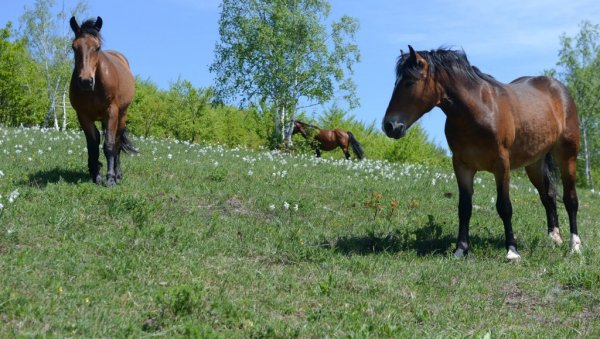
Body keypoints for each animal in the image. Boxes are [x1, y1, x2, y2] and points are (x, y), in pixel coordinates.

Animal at [69, 16, 136, 186]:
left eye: (97, 47)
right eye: (74, 47)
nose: (86, 81)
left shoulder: (111, 112)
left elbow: (110, 145)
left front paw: (110, 178)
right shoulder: (83, 116)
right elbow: (93, 146)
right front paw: (96, 176)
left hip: (121, 116)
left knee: (117, 142)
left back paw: (118, 174)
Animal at [384, 46, 580, 262]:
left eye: (410, 82)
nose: (389, 126)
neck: (479, 110)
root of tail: (558, 88)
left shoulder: (502, 165)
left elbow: (504, 207)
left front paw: (512, 251)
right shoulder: (462, 166)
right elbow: (464, 208)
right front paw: (460, 249)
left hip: (567, 157)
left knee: (570, 200)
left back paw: (575, 246)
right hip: (534, 163)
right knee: (548, 196)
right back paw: (555, 237)